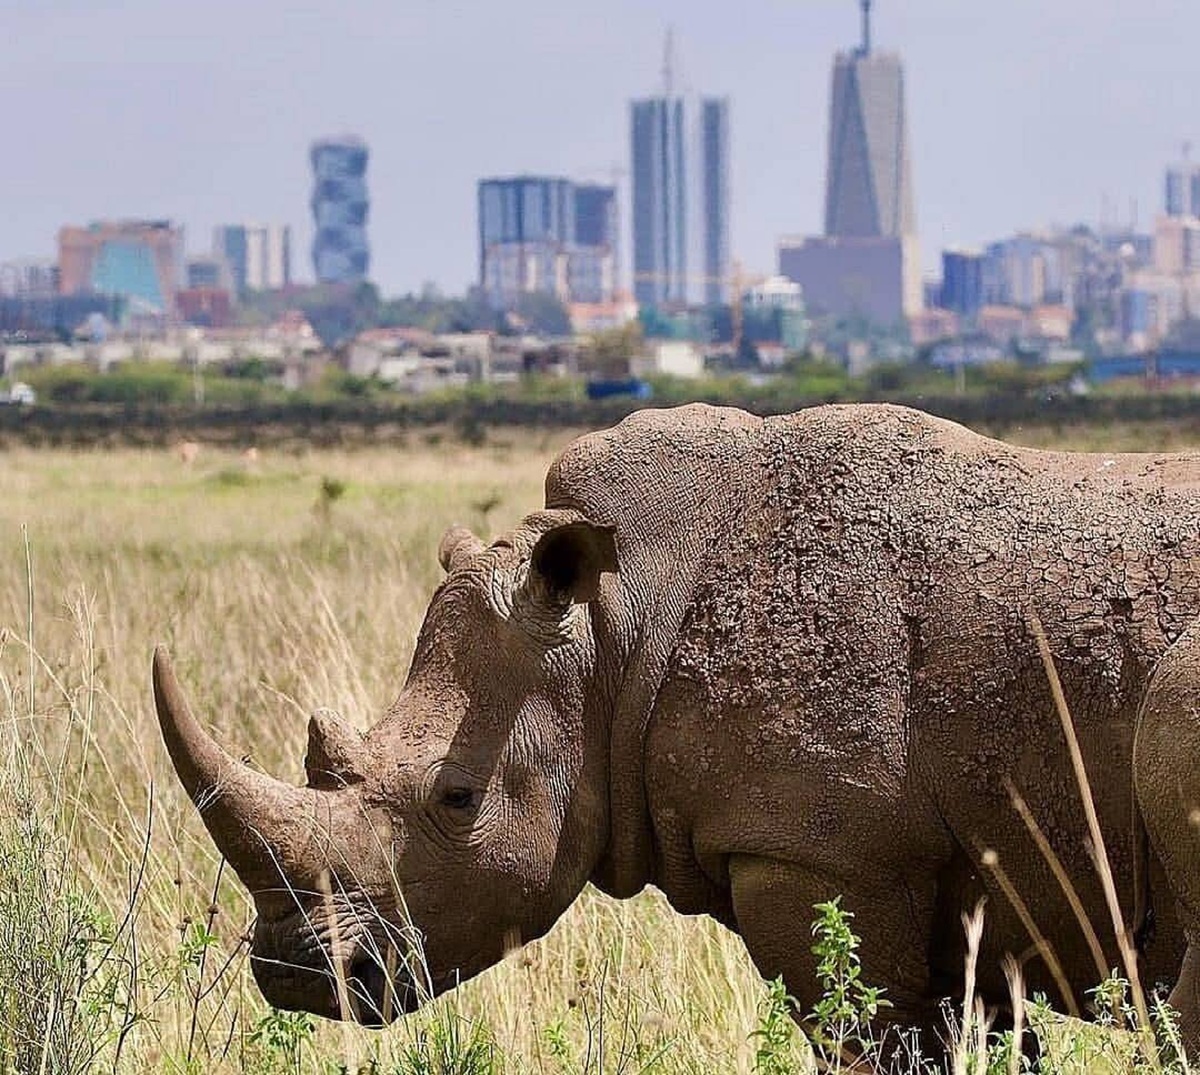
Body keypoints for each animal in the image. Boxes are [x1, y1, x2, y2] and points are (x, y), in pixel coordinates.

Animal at [154, 402, 1200, 1050]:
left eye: (455, 798)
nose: (297, 974)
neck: (615, 624)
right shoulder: (965, 887)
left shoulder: (819, 854)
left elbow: (870, 1030)